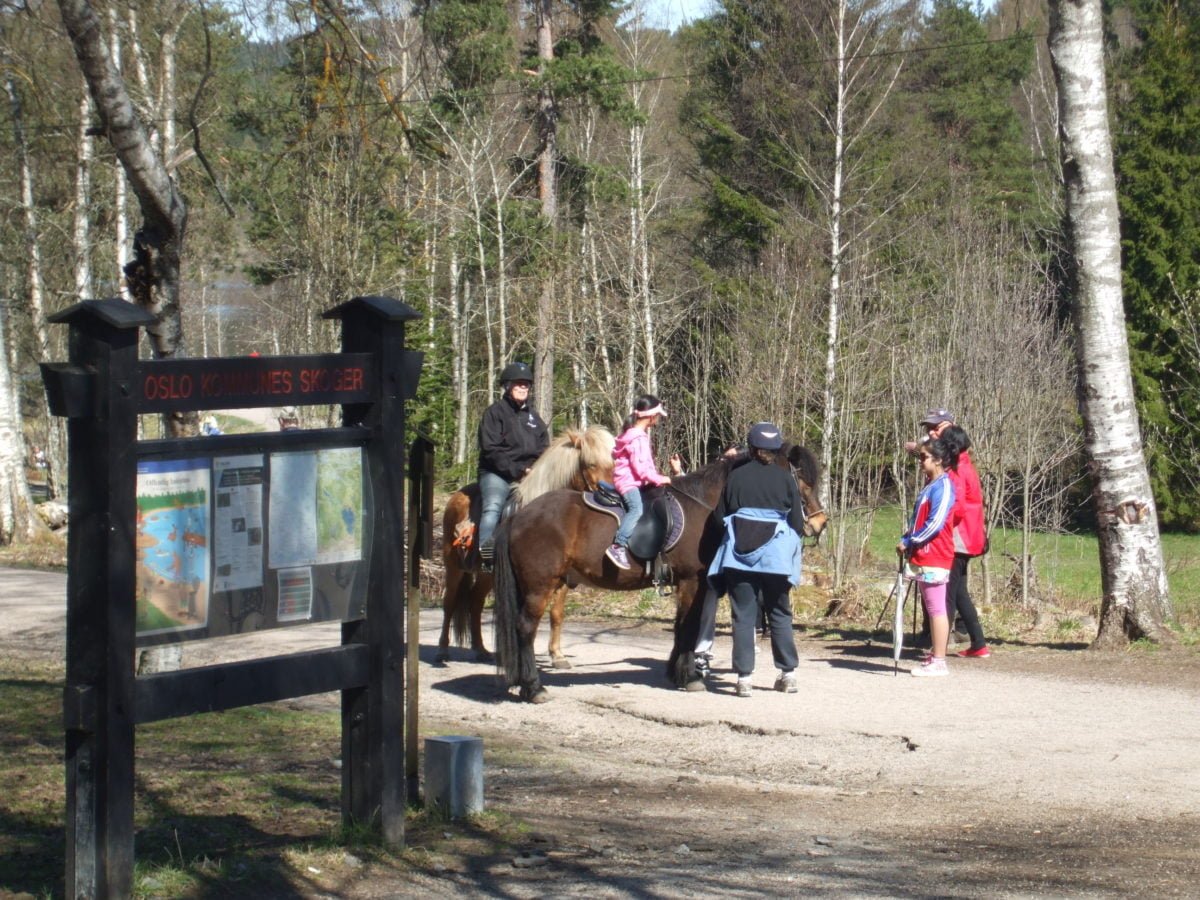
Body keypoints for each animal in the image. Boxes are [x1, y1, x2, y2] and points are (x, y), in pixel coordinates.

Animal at [436, 427, 614, 667]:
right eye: (591, 464)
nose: (613, 495)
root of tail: (456, 497)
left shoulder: (562, 578)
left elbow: (556, 613)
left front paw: (557, 655)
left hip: (486, 574)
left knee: (475, 602)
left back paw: (481, 649)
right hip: (453, 565)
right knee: (449, 603)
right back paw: (442, 651)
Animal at [489, 444, 825, 705]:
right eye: (804, 483)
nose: (820, 524)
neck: (704, 507)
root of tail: (519, 515)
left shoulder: (688, 585)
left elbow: (680, 627)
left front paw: (676, 672)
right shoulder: (692, 581)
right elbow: (688, 628)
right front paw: (689, 676)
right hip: (539, 586)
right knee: (525, 629)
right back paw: (534, 687)